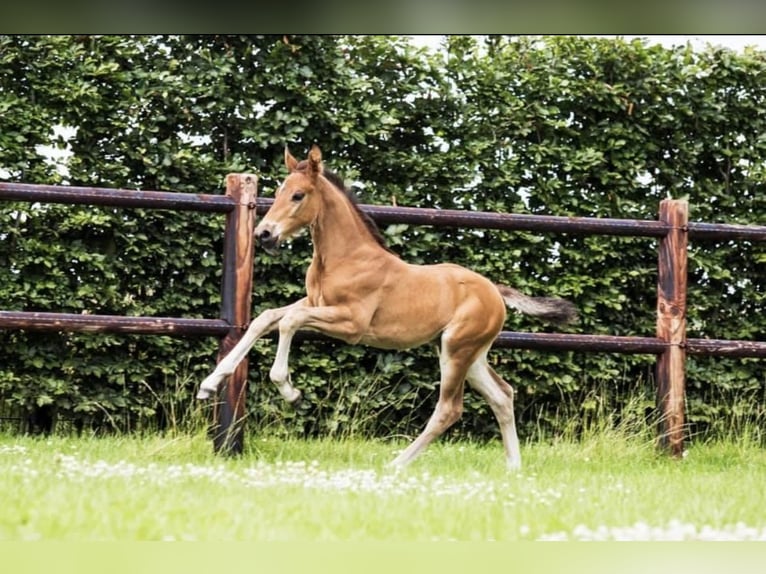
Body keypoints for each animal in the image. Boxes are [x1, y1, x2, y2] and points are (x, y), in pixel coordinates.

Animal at [198, 145, 576, 472]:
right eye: (277, 192)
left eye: (298, 195)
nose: (263, 234)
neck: (345, 257)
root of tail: (494, 291)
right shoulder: (316, 303)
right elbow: (265, 318)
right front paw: (209, 384)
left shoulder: (351, 324)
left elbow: (290, 320)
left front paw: (289, 390)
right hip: (469, 353)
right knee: (502, 395)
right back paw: (513, 467)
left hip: (457, 349)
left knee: (449, 409)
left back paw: (397, 463)